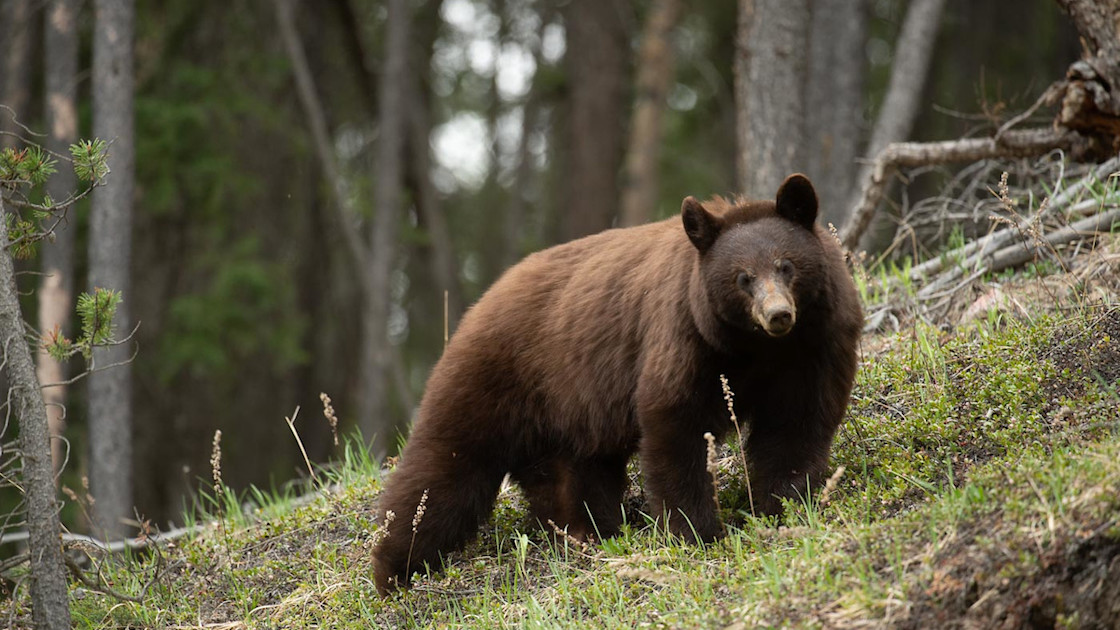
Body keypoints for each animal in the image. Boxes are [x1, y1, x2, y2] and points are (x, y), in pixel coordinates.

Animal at [372, 173, 862, 595]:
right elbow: (675, 426)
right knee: (443, 473)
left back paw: (585, 533)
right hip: (490, 379)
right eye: (743, 278)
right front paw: (697, 532)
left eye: (786, 266)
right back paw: (394, 572)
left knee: (576, 477)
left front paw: (785, 507)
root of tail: (481, 301)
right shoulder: (684, 337)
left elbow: (795, 425)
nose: (778, 314)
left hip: (568, 414)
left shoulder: (815, 346)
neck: (756, 347)